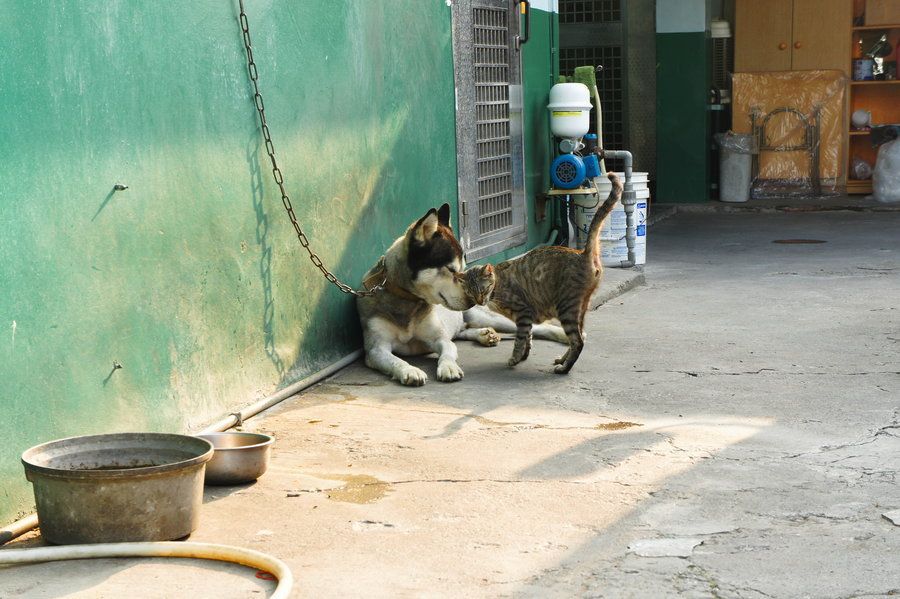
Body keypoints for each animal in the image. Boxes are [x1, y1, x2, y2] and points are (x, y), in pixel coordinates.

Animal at [356, 204, 564, 386]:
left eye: (464, 270)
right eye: (451, 270)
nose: (473, 301)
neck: (408, 302)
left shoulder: (440, 340)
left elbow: (447, 351)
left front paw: (449, 367)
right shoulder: (376, 350)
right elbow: (395, 360)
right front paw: (409, 370)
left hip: (486, 317)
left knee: (538, 327)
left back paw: (561, 335)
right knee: (463, 332)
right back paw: (485, 335)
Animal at [464, 171, 620, 372]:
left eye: (483, 290)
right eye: (470, 292)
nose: (479, 301)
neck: (496, 288)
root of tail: (582, 253)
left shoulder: (523, 313)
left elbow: (519, 340)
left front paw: (515, 358)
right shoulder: (526, 319)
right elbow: (528, 337)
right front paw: (524, 355)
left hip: (567, 308)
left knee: (578, 341)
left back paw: (564, 368)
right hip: (580, 310)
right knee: (577, 338)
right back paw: (562, 360)